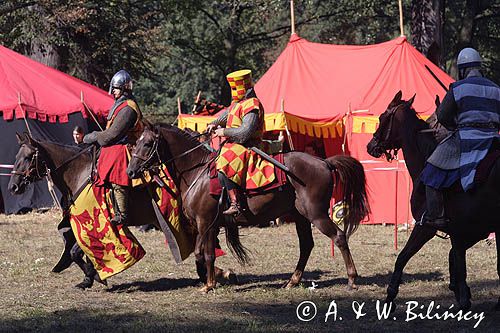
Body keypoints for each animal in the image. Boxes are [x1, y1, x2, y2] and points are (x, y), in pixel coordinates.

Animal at [7, 132, 234, 288]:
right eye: (17, 156)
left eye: (28, 157)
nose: (13, 187)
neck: (79, 172)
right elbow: (77, 251)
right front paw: (88, 279)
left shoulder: (94, 223)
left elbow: (75, 251)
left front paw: (96, 277)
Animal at [126, 124, 368, 290]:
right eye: (136, 143)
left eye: (147, 144)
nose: (131, 171)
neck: (196, 171)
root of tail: (324, 162)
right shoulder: (203, 225)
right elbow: (200, 254)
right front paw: (216, 278)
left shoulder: (206, 222)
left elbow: (207, 255)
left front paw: (210, 284)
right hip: (300, 216)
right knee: (306, 245)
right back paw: (292, 281)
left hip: (316, 214)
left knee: (339, 237)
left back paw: (351, 279)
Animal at [364, 91, 500, 308]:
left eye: (382, 117)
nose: (371, 146)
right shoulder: (471, 232)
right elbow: (454, 260)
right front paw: (460, 292)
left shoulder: (426, 228)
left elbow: (402, 257)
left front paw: (391, 295)